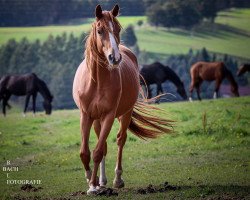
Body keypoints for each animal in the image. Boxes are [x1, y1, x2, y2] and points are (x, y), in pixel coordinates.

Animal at [73, 4, 173, 195]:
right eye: (100, 30)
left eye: (118, 29)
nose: (115, 58)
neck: (97, 81)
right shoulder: (85, 115)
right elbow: (85, 152)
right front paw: (91, 180)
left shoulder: (109, 116)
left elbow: (97, 151)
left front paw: (93, 186)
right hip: (96, 119)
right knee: (104, 145)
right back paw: (101, 181)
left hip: (124, 114)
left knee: (120, 140)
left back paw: (116, 179)